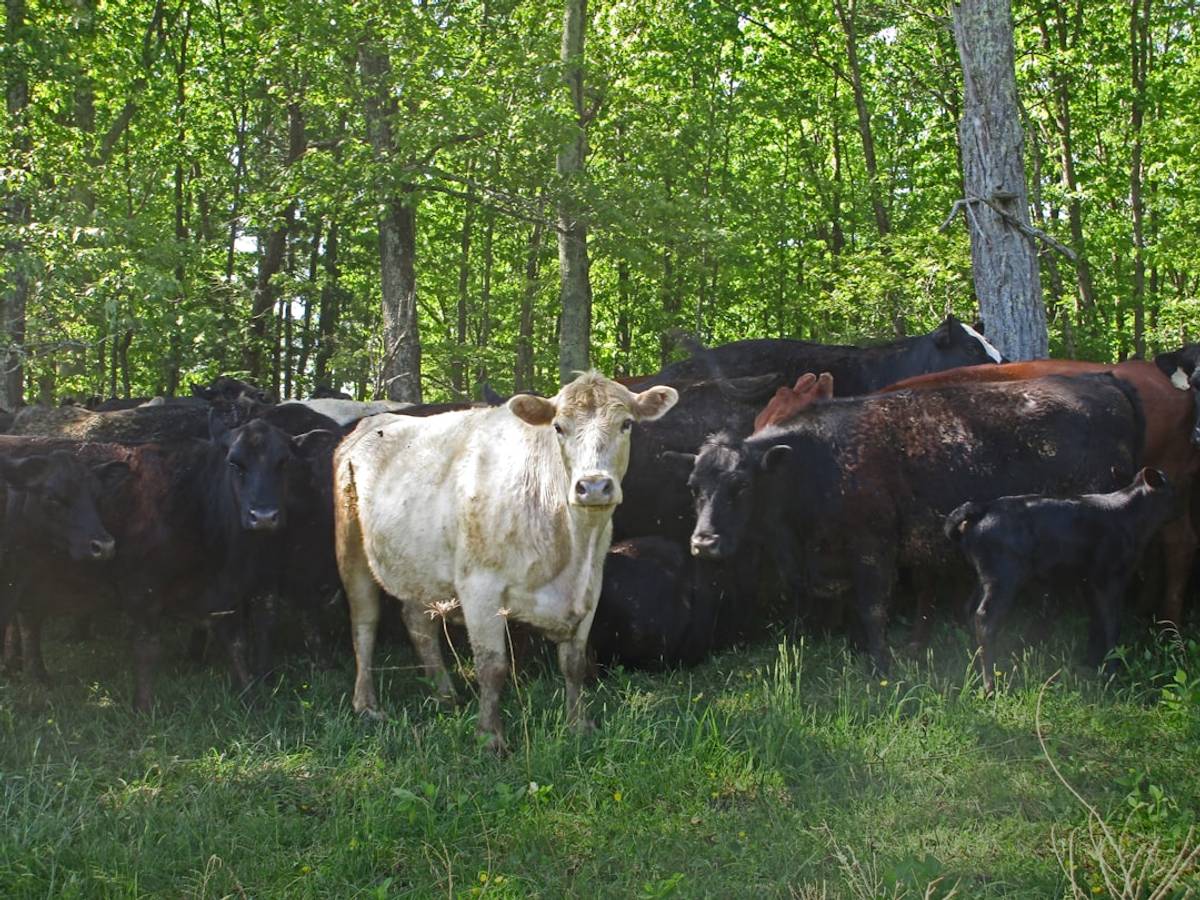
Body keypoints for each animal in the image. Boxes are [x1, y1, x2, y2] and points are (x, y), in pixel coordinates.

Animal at [334, 371, 678, 752]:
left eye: (626, 424)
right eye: (558, 427)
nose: (593, 486)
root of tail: (372, 423)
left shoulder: (591, 587)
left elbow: (573, 663)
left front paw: (579, 725)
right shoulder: (479, 588)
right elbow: (493, 667)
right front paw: (490, 737)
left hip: (420, 566)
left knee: (418, 622)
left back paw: (445, 694)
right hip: (350, 543)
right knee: (364, 623)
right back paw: (367, 704)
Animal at [683, 374, 1144, 674]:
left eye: (740, 485)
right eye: (694, 487)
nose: (704, 543)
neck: (817, 460)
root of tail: (1103, 380)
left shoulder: (873, 548)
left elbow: (872, 608)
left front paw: (881, 666)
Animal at [947, 468, 1176, 692]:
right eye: (1174, 491)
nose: (1181, 509)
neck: (1129, 515)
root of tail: (984, 506)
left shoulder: (1090, 582)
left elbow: (1096, 621)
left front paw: (1091, 663)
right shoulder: (1110, 579)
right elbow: (1112, 624)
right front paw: (1112, 671)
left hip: (985, 578)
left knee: (969, 610)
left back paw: (972, 662)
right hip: (1003, 577)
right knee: (985, 618)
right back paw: (990, 684)